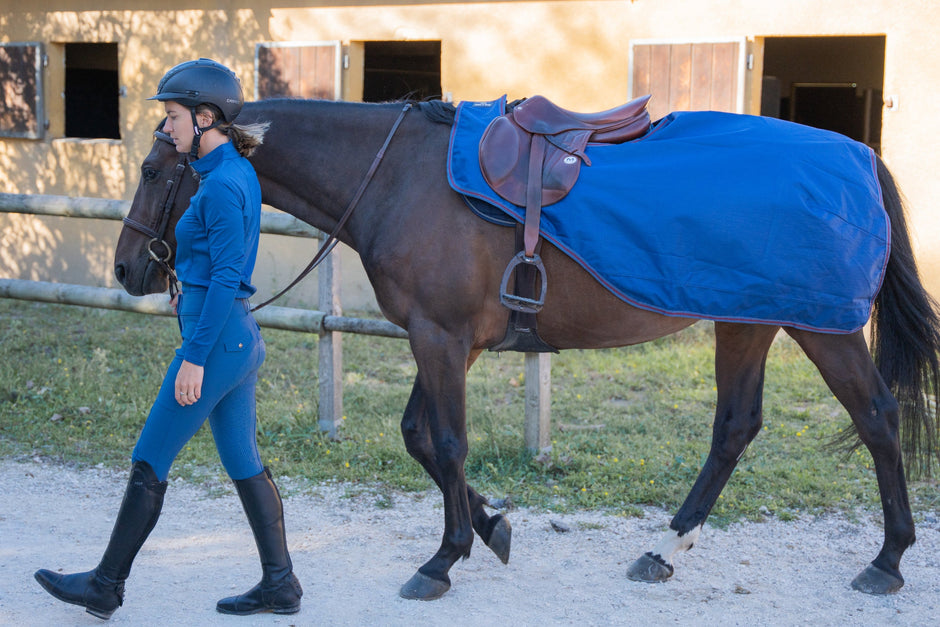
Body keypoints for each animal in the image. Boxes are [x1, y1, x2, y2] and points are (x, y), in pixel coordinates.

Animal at [114, 98, 936, 600]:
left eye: (154, 170)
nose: (127, 269)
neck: (399, 175)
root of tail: (859, 156)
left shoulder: (441, 338)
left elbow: (446, 442)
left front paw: (443, 558)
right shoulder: (447, 340)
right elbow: (420, 437)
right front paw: (491, 527)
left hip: (823, 329)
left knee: (876, 417)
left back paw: (888, 558)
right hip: (747, 320)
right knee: (736, 426)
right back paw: (665, 549)